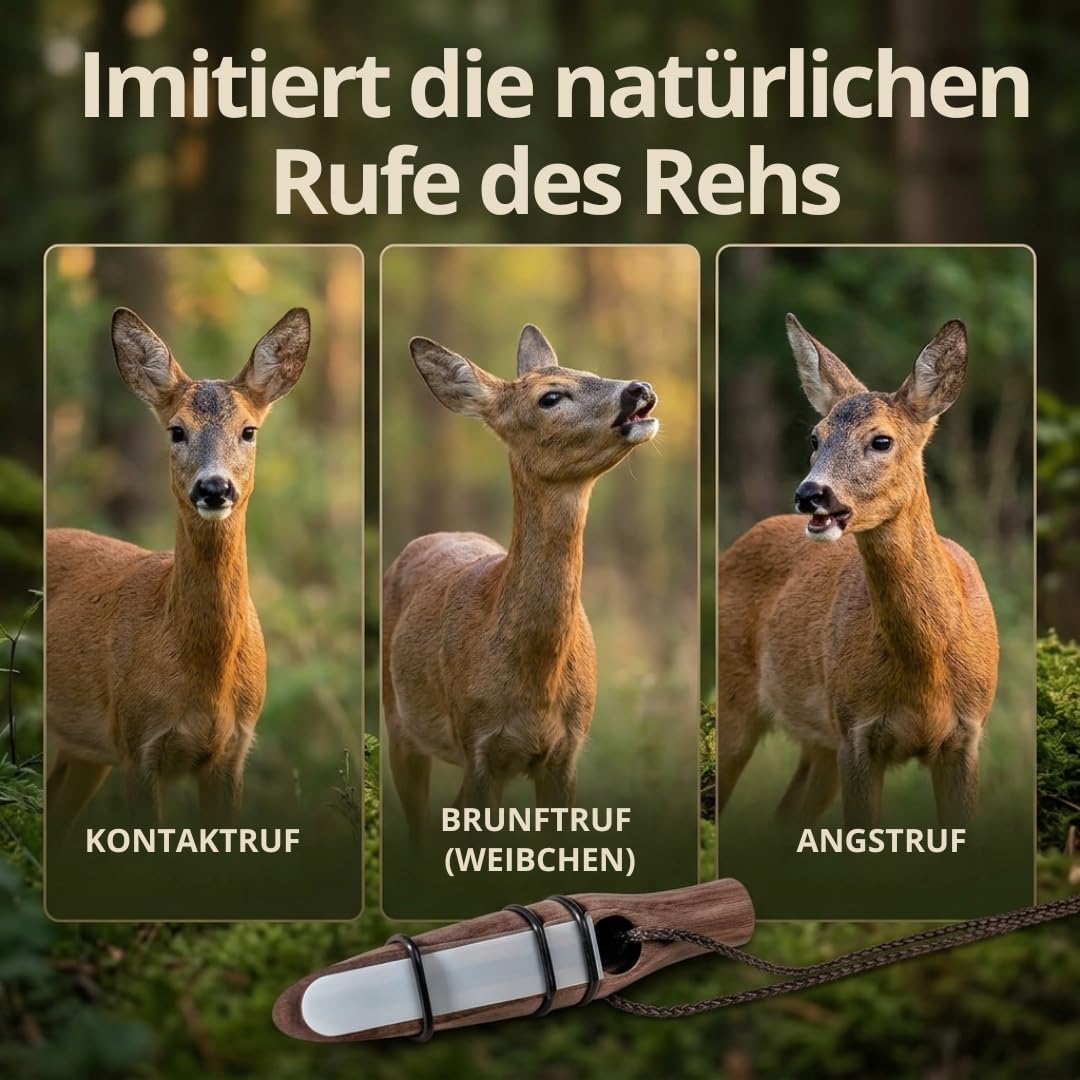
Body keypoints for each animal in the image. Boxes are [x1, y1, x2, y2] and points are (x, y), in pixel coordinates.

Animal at [46, 306, 309, 838]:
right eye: (176, 430)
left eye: (249, 431)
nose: (214, 487)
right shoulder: (138, 747)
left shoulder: (231, 753)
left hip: (83, 752)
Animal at [383, 325, 659, 843]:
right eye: (550, 396)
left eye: (588, 371)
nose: (640, 389)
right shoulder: (478, 746)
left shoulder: (565, 753)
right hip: (398, 722)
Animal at [715, 315, 999, 828]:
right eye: (815, 437)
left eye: (881, 440)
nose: (811, 494)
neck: (925, 665)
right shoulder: (856, 733)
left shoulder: (966, 738)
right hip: (739, 701)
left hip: (819, 746)